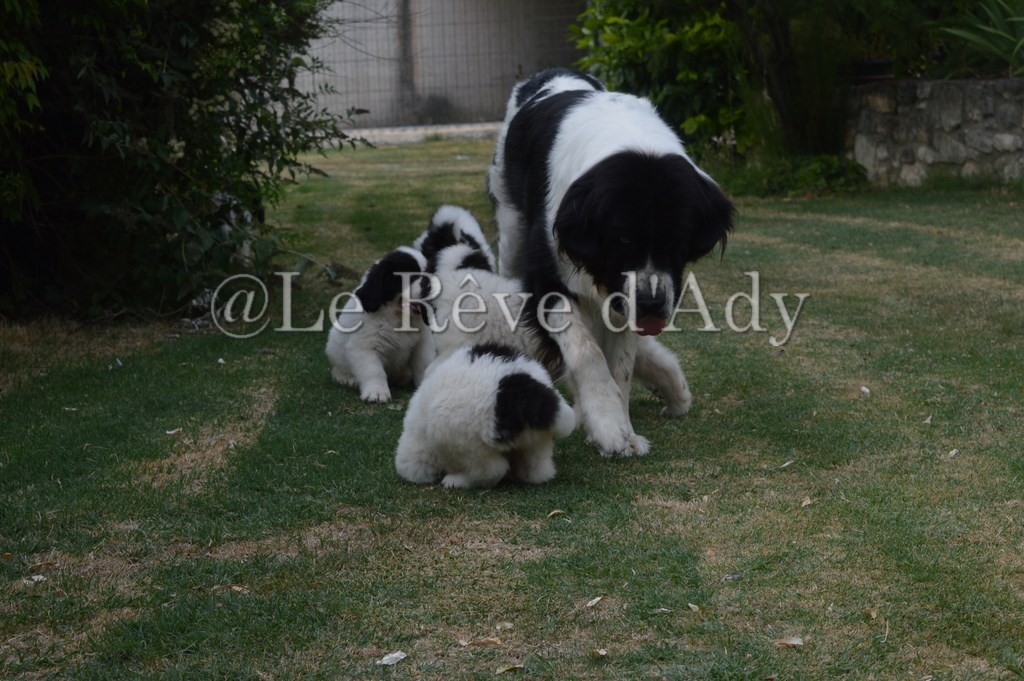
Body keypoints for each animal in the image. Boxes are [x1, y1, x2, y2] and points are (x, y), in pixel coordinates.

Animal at [325, 246, 434, 403]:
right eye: (408, 275)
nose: (430, 285)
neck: (398, 317)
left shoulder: (423, 343)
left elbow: (423, 365)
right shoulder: (364, 346)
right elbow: (374, 371)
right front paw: (376, 393)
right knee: (338, 371)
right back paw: (349, 380)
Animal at [395, 343, 576, 489]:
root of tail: (521, 390)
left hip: (468, 444)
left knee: (492, 470)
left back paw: (456, 481)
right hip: (537, 440)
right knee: (536, 467)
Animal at [488, 67, 734, 456]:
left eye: (678, 240)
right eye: (623, 238)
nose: (651, 303)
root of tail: (551, 73)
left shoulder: (625, 293)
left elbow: (621, 360)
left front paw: (624, 425)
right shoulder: (548, 272)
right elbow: (585, 348)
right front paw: (607, 422)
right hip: (511, 231)